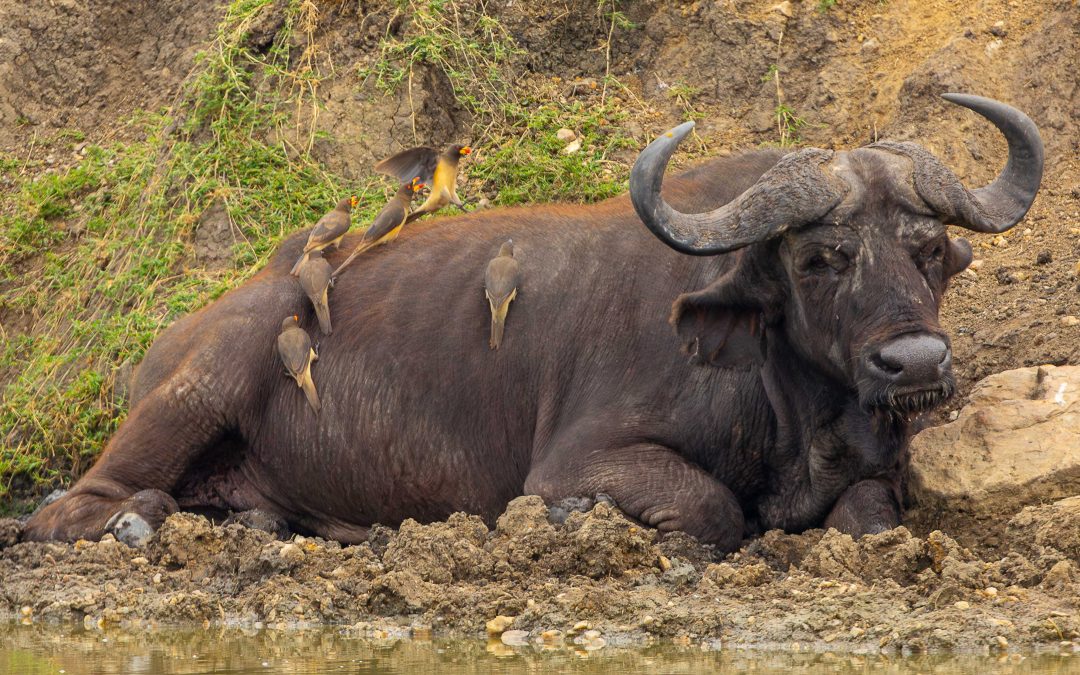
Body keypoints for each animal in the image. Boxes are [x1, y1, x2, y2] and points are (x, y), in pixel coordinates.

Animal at [22, 94, 1043, 553]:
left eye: (927, 249)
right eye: (819, 257)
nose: (915, 362)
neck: (792, 407)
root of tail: (169, 335)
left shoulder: (873, 472)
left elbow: (870, 514)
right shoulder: (577, 458)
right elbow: (712, 506)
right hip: (199, 388)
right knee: (68, 506)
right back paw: (133, 517)